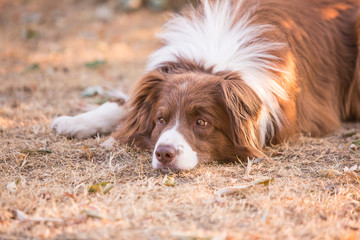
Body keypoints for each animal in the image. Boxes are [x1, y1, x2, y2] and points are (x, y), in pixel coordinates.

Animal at [52, 0, 360, 171]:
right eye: (160, 120)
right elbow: (126, 107)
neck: (212, 61)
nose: (163, 154)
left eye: (202, 122)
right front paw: (74, 121)